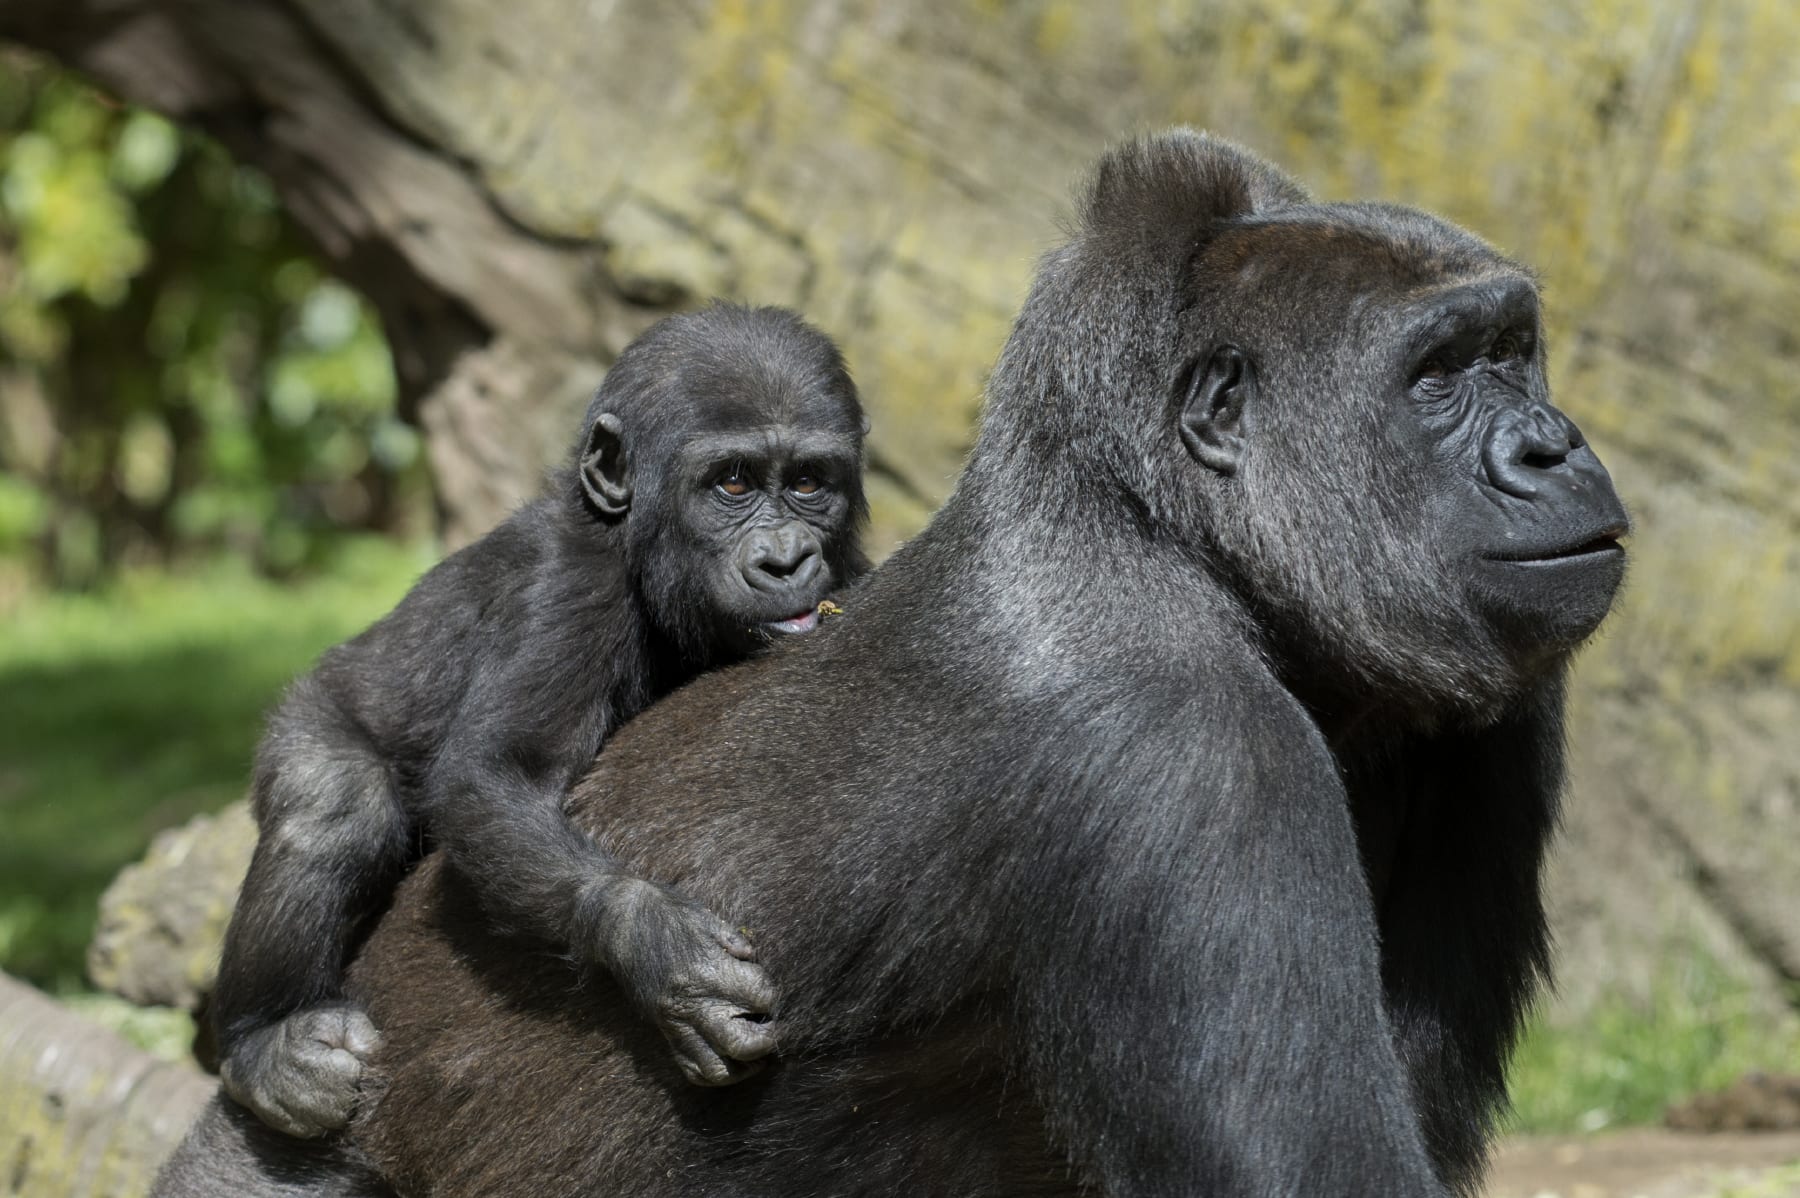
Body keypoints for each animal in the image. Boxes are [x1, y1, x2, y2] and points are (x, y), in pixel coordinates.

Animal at [207, 303, 867, 1136]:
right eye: (733, 481)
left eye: (809, 482)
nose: (785, 559)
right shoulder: (568, 591)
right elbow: (496, 775)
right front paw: (653, 941)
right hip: (315, 710)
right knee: (335, 806)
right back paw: (260, 1041)